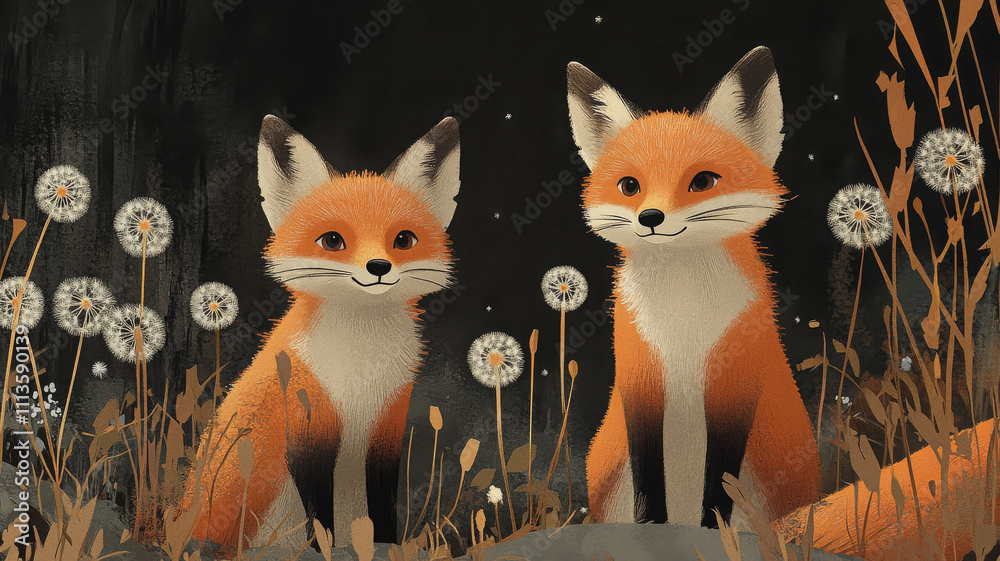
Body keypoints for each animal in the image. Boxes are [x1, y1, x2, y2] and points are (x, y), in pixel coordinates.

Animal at [182, 115, 461, 552]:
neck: (363, 366)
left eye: (403, 240)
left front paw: (388, 548)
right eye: (333, 240)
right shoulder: (308, 432)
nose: (378, 267)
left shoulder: (386, 426)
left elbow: (383, 512)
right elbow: (320, 520)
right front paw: (323, 552)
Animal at [569, 47, 1000, 561]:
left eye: (702, 181)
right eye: (629, 186)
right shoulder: (641, 382)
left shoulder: (736, 383)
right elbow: (650, 487)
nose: (649, 218)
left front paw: (713, 536)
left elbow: (719, 486)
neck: (684, 320)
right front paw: (652, 534)